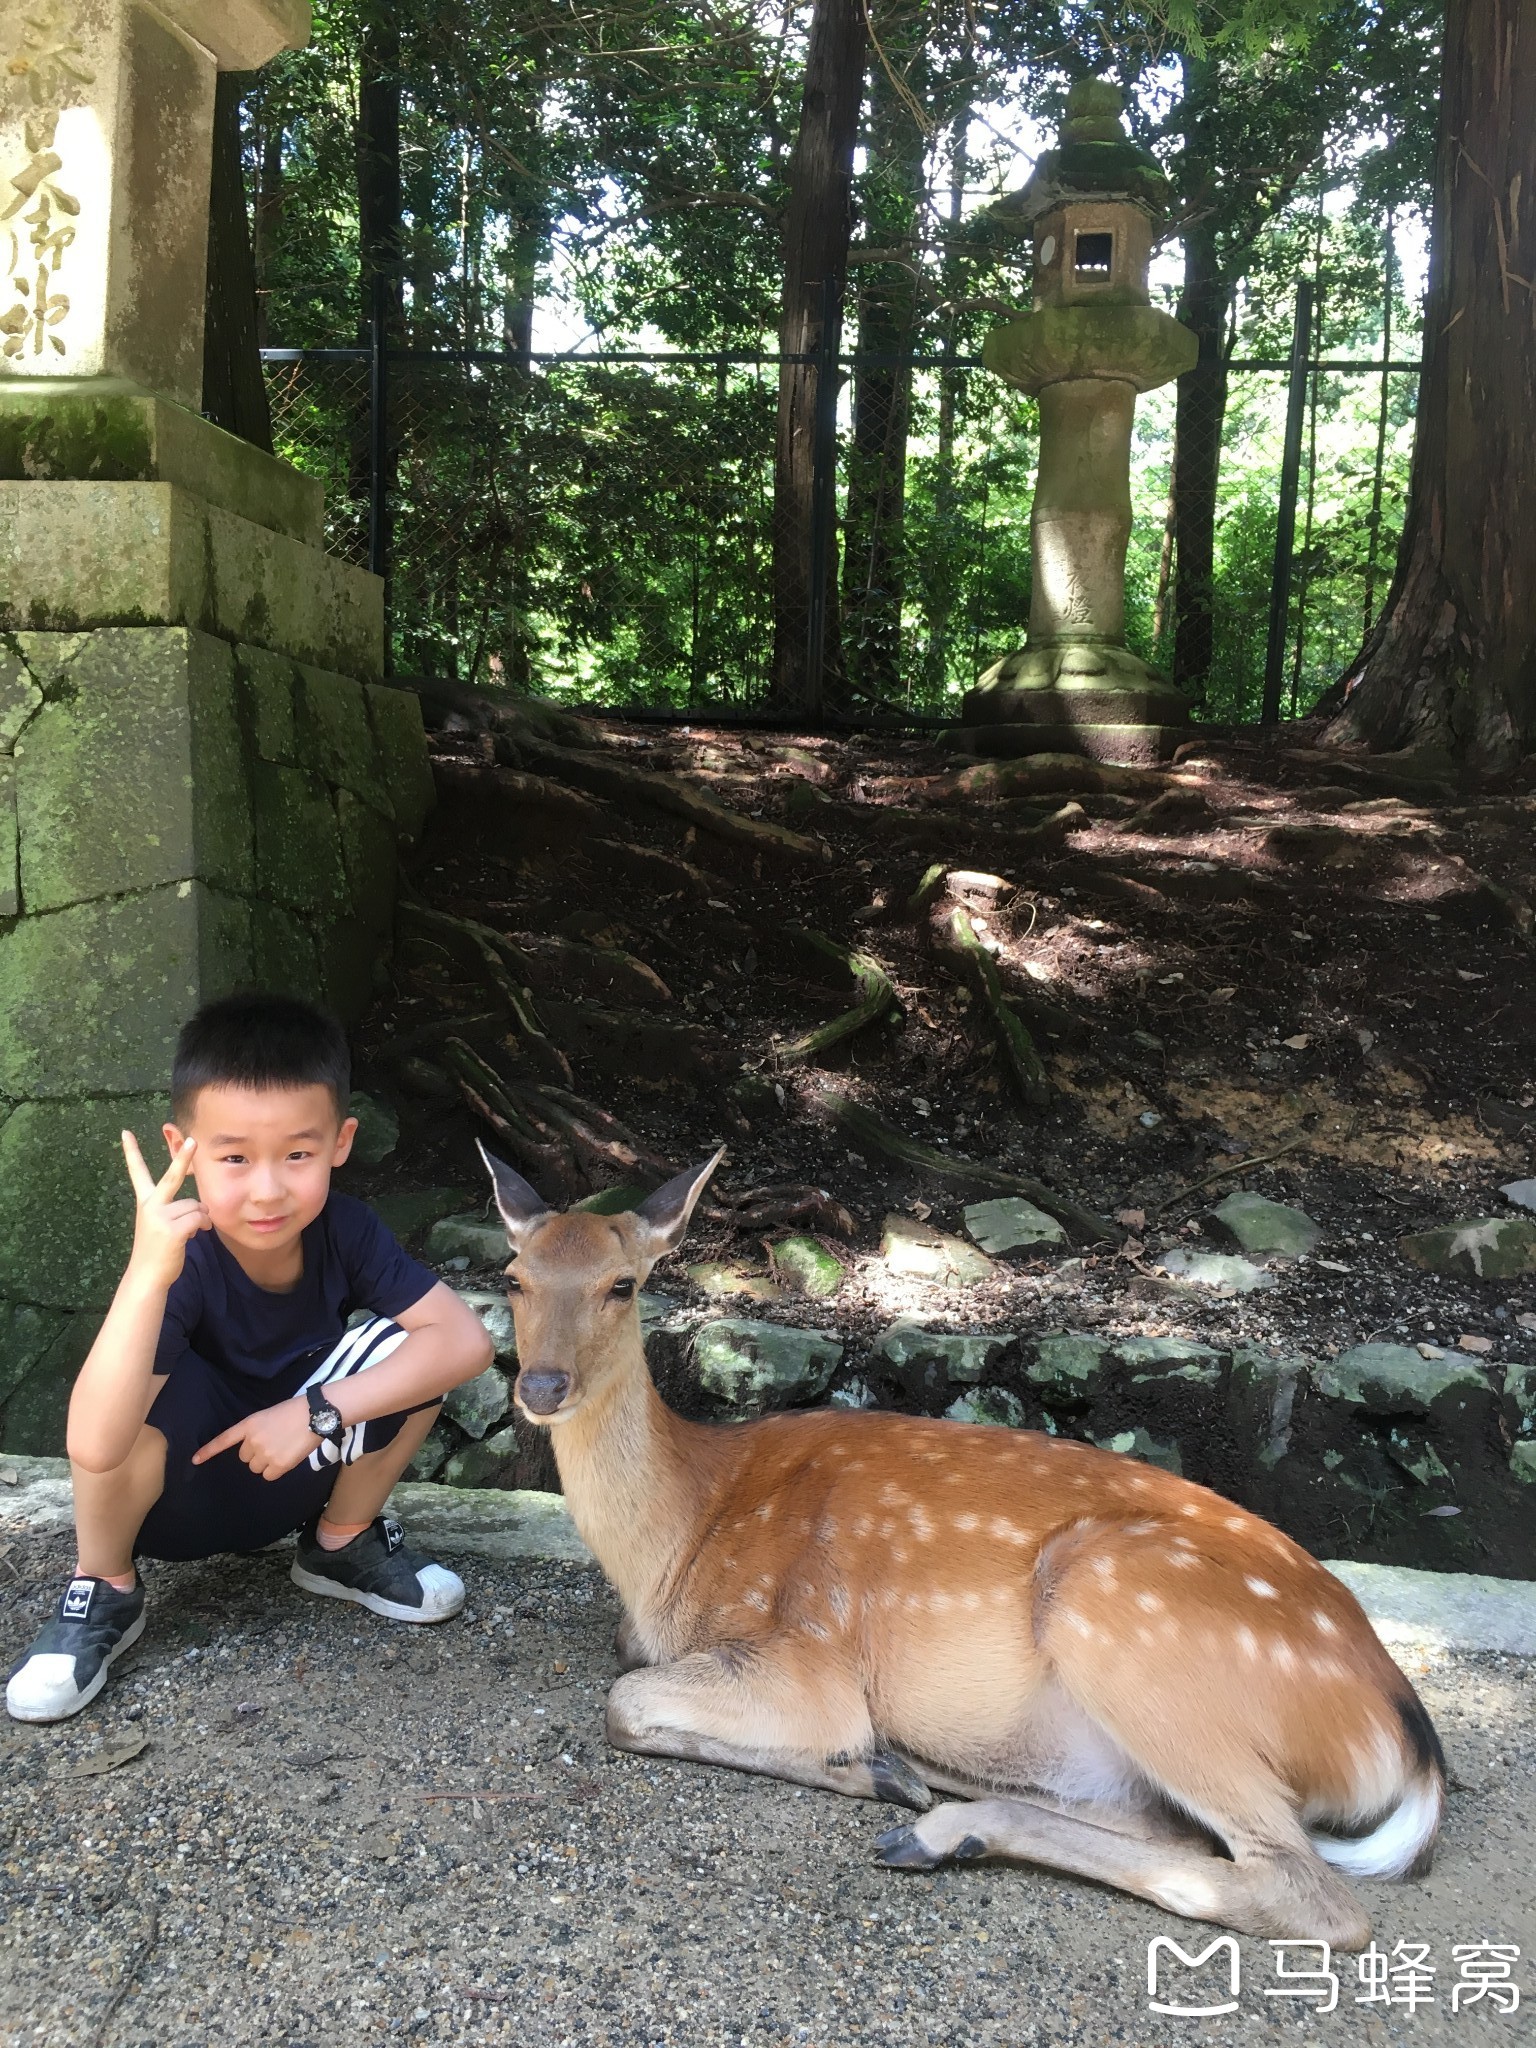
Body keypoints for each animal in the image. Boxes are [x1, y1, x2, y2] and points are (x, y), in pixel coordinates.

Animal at [479, 1146, 1441, 1941]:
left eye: (623, 1284)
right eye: (515, 1277)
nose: (542, 1384)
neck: (681, 1539)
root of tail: (1408, 1742)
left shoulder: (805, 1653)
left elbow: (626, 1703)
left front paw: (862, 1764)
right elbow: (626, 1673)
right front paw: (880, 1768)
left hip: (1128, 1615)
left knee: (1304, 1892)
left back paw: (931, 1819)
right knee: (1171, 1825)